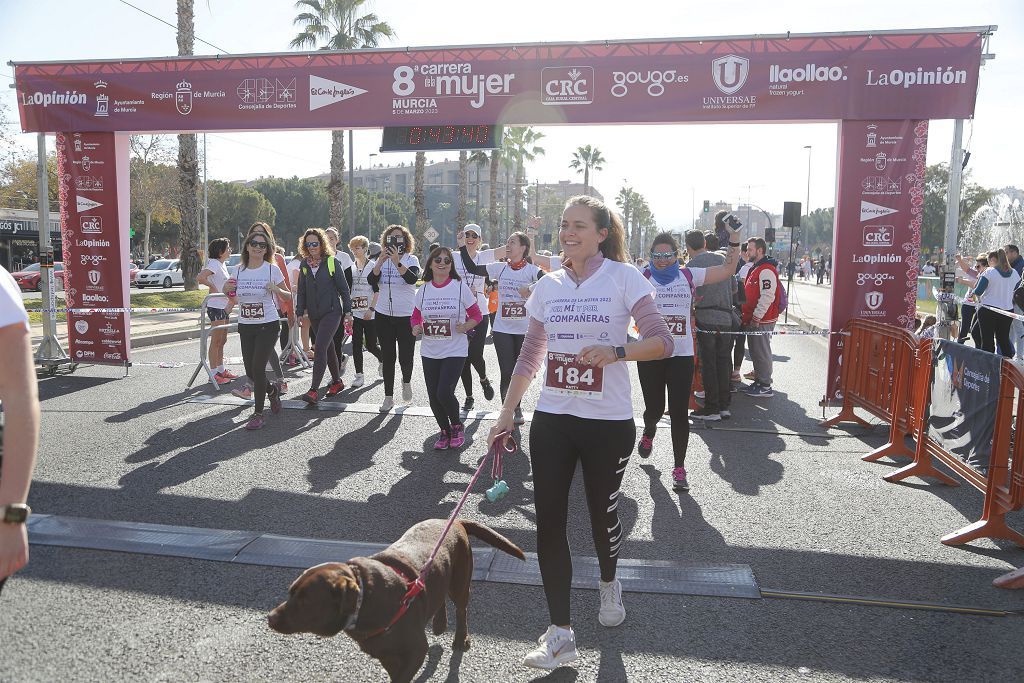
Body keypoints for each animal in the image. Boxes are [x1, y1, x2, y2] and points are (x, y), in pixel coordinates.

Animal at [268, 520, 524, 679]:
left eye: (305, 601)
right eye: (290, 592)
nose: (269, 618)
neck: (366, 601)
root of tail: (454, 521)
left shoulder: (415, 652)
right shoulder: (387, 656)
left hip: (459, 583)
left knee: (461, 609)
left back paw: (461, 638)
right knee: (437, 595)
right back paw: (439, 624)